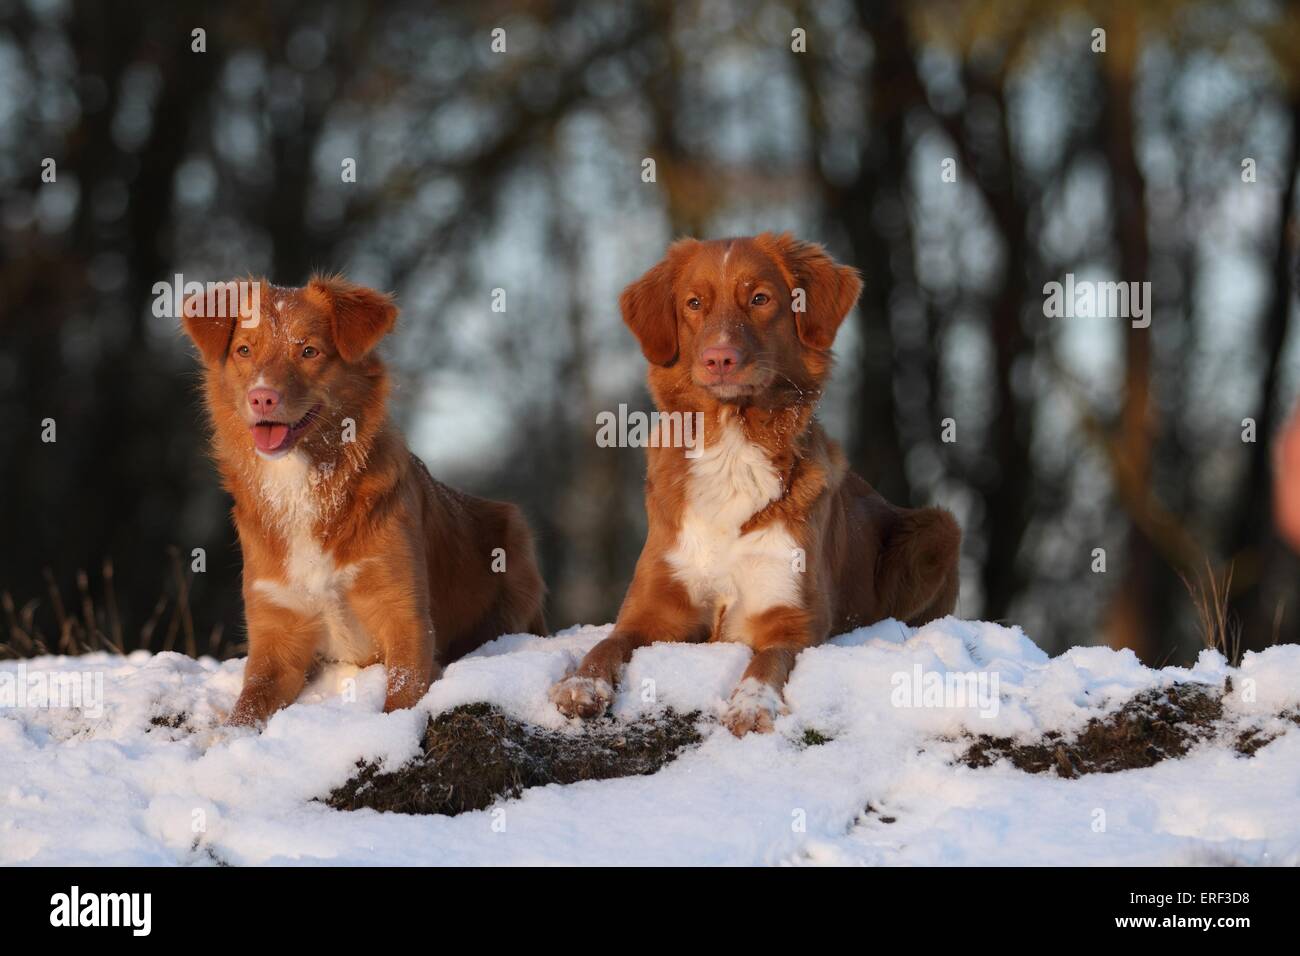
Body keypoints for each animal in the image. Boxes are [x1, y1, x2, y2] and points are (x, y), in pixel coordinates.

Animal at [182, 274, 543, 723]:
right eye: (244, 350)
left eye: (309, 351)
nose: (261, 397)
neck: (304, 482)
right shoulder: (276, 636)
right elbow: (247, 708)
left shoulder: (405, 618)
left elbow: (402, 695)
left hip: (515, 540)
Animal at [543, 235, 961, 738]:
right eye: (694, 304)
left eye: (760, 299)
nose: (719, 358)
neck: (732, 445)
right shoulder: (653, 609)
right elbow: (607, 644)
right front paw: (580, 684)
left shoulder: (792, 620)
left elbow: (766, 663)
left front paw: (751, 704)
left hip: (938, 527)